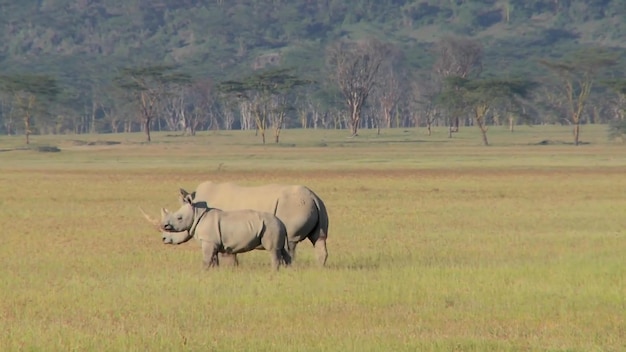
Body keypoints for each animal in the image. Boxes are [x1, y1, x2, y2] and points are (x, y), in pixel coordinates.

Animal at [158, 194, 290, 270]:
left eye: (179, 218)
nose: (163, 238)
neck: (196, 214)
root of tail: (281, 222)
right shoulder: (213, 243)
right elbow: (214, 261)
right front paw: (215, 273)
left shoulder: (208, 241)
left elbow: (206, 260)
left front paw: (203, 272)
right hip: (275, 226)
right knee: (284, 251)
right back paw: (288, 271)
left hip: (271, 226)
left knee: (273, 251)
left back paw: (274, 272)